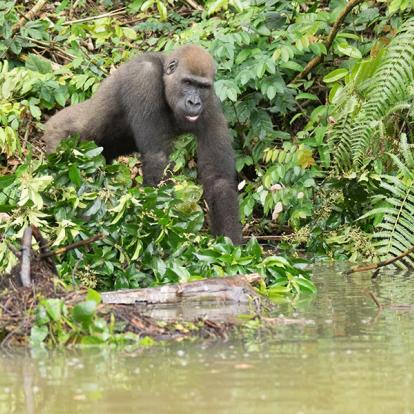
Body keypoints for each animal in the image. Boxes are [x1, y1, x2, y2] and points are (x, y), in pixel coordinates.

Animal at [42, 45, 243, 244]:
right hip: (59, 143)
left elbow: (219, 180)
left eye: (202, 87)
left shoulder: (211, 103)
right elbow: (157, 158)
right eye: (187, 83)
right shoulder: (144, 77)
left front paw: (230, 245)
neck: (164, 76)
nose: (194, 102)